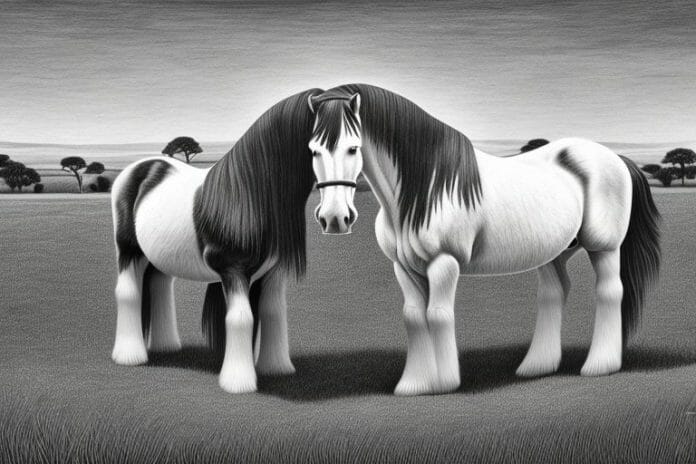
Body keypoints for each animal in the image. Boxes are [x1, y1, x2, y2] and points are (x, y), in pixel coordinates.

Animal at [110, 88, 321, 393]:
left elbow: (272, 313)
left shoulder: (273, 272)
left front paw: (277, 369)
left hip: (159, 257)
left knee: (159, 286)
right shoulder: (233, 271)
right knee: (129, 292)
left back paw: (166, 347)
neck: (249, 193)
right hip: (129, 250)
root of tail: (139, 169)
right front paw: (238, 381)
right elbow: (241, 318)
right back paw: (130, 355)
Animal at [306, 84, 661, 396]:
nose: (334, 218)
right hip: (553, 251)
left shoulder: (444, 263)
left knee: (610, 292)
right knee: (554, 293)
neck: (425, 189)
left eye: (353, 147)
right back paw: (536, 366)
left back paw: (600, 365)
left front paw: (444, 383)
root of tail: (615, 158)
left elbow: (437, 314)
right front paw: (414, 385)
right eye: (313, 150)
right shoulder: (404, 267)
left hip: (605, 246)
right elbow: (413, 317)